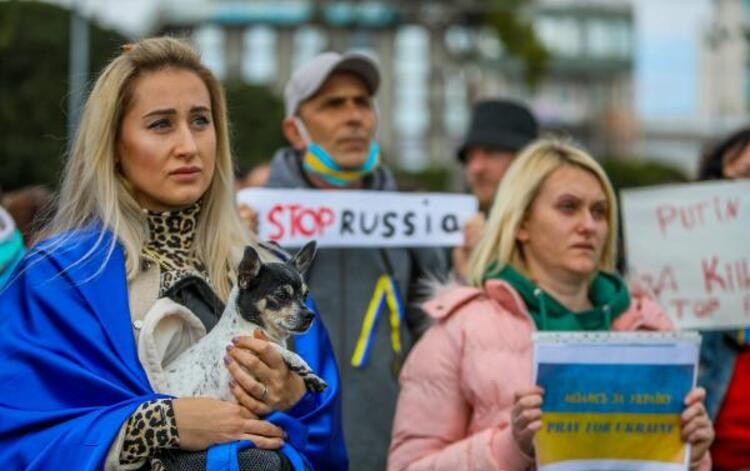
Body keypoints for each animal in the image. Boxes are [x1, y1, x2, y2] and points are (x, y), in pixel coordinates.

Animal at [163, 243, 328, 402]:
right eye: (281, 295)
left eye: (305, 296)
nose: (310, 315)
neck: (248, 326)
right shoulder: (229, 379)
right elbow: (265, 344)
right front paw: (295, 359)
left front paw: (312, 378)